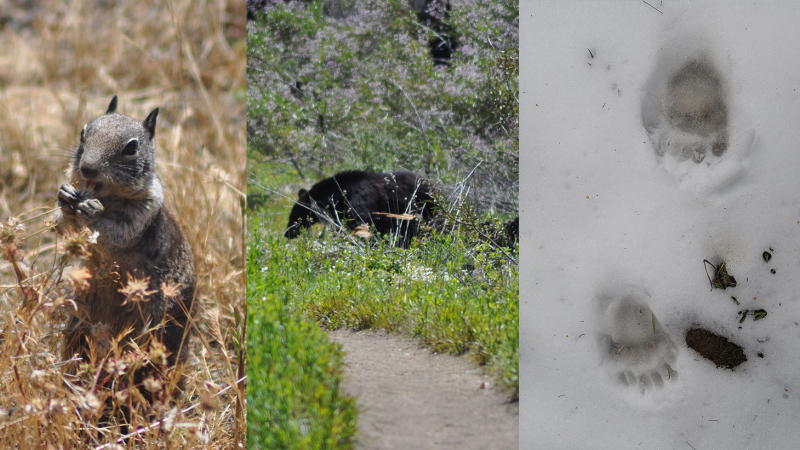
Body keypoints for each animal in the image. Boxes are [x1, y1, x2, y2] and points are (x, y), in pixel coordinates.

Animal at [56, 96, 197, 380]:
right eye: (83, 133)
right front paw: (65, 196)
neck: (107, 198)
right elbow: (65, 230)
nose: (87, 168)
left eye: (131, 147)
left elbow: (118, 235)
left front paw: (91, 212)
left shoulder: (143, 214)